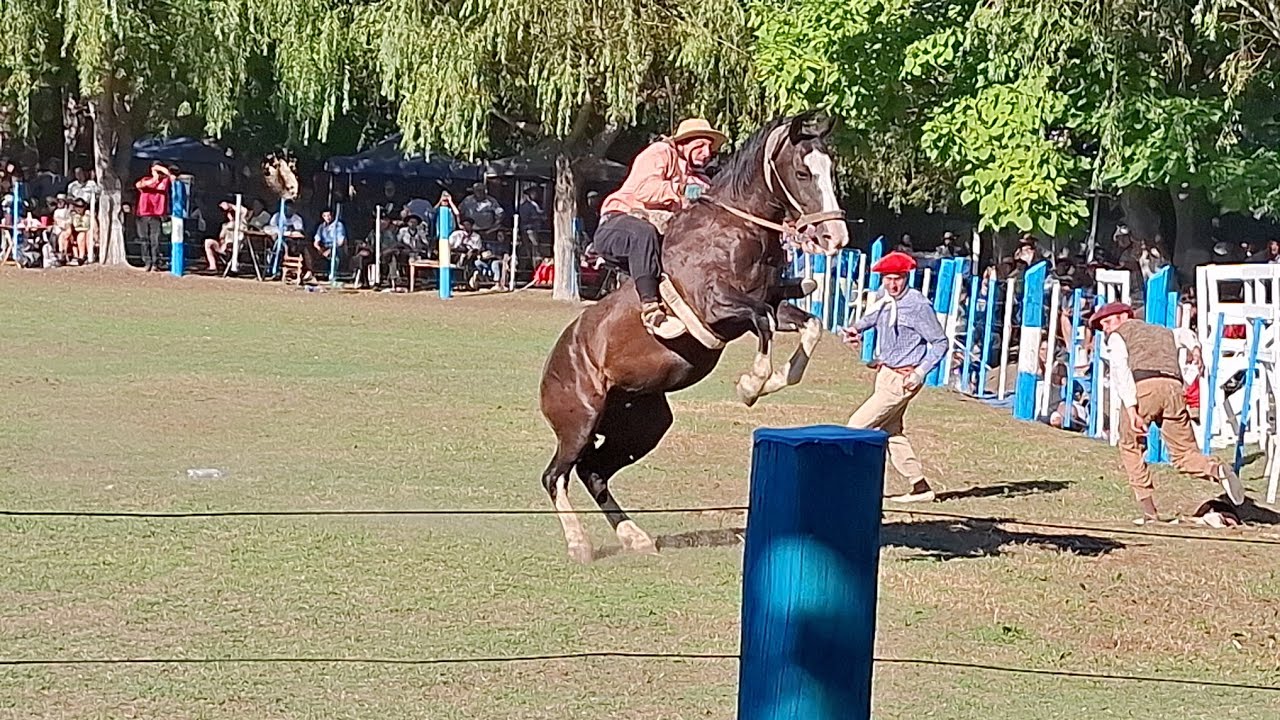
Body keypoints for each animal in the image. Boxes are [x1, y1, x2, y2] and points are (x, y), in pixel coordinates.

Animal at [538, 112, 849, 563]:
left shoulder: (771, 303)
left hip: (644, 425)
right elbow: (762, 324)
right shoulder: (718, 306)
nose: (835, 238)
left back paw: (635, 537)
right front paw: (751, 385)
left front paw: (772, 381)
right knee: (555, 476)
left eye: (831, 170)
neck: (738, 227)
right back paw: (579, 544)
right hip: (579, 422)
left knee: (592, 471)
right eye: (804, 172)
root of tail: (553, 367)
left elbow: (809, 327)